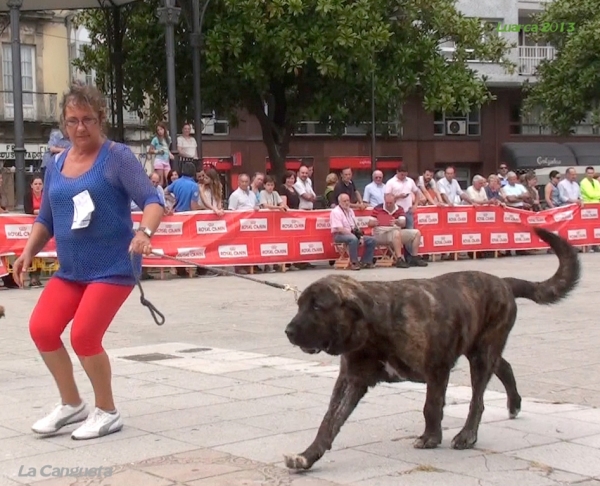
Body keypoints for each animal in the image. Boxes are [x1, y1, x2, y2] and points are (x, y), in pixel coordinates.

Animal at [284, 228, 580, 470]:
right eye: (299, 305)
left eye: (317, 307)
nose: (288, 331)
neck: (375, 327)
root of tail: (503, 282)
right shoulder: (351, 380)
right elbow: (329, 422)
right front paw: (307, 456)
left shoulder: (437, 369)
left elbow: (431, 405)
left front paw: (430, 437)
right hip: (481, 349)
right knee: (504, 366)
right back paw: (514, 404)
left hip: (482, 354)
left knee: (478, 400)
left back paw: (467, 436)